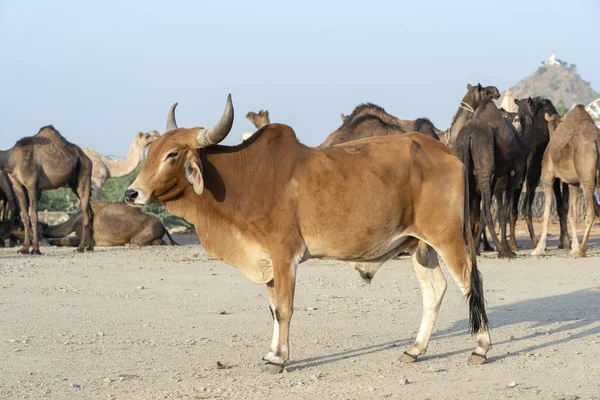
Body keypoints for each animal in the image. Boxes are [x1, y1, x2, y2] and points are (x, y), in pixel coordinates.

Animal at [126, 95, 492, 374]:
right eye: (151, 151)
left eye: (172, 154)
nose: (132, 193)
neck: (243, 179)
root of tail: (449, 154)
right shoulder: (268, 261)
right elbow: (273, 308)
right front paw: (271, 353)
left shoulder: (284, 254)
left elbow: (284, 308)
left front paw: (280, 359)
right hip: (419, 246)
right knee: (435, 291)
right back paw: (415, 349)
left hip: (448, 238)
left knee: (468, 283)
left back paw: (481, 348)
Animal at [528, 104, 600, 258]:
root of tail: (596, 142)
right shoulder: (573, 183)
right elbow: (571, 213)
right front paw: (573, 246)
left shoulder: (547, 176)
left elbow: (547, 212)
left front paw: (539, 248)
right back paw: (578, 249)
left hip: (587, 179)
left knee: (590, 213)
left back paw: (581, 250)